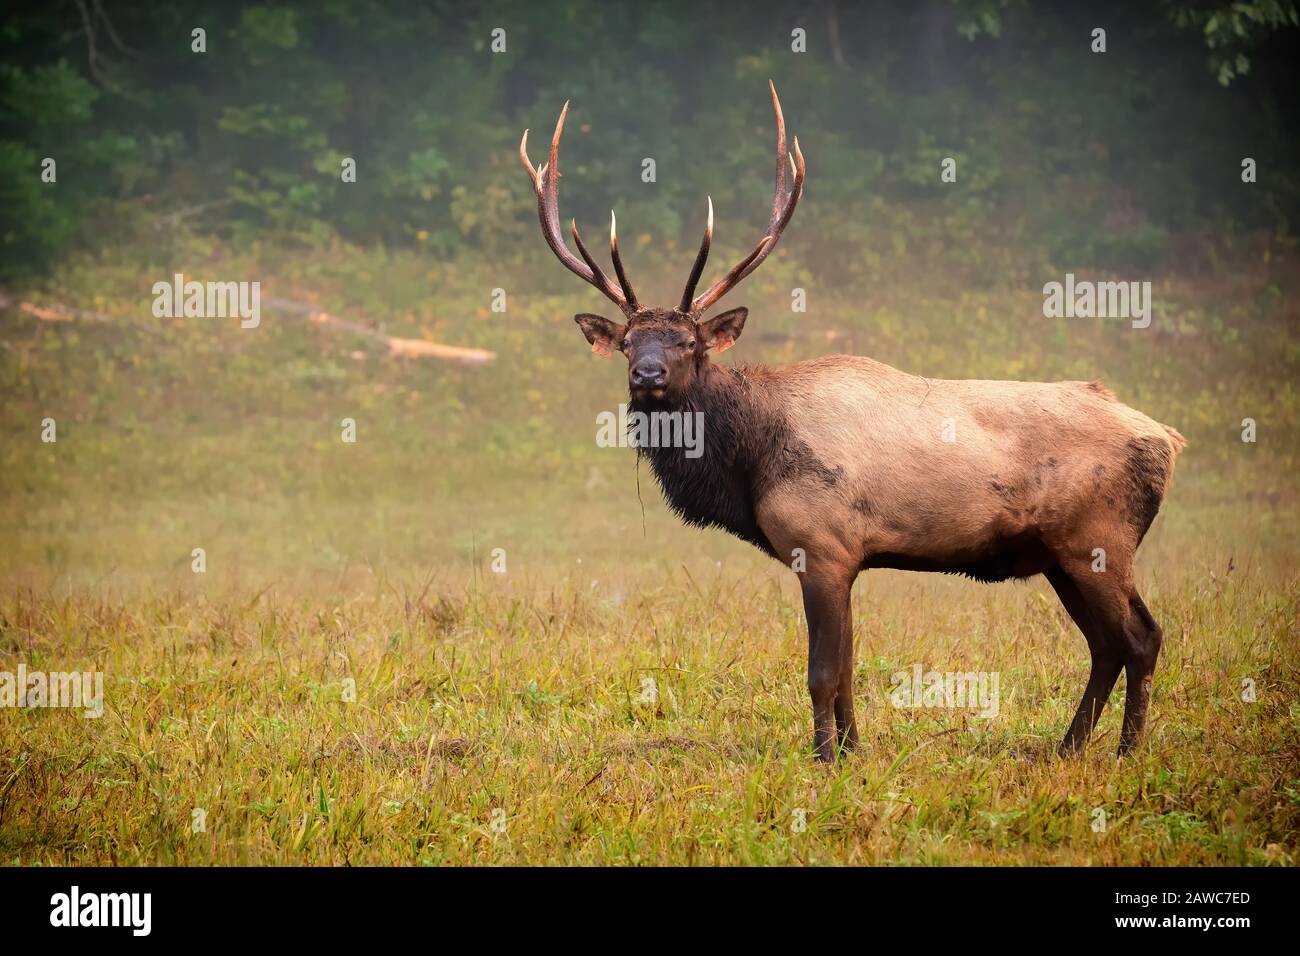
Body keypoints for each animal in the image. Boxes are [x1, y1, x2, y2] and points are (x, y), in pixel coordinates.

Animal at [514, 80, 1180, 764]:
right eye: (627, 343)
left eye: (689, 343)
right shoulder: (849, 557)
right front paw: (855, 750)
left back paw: (1127, 752)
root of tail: (1168, 439)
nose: (647, 376)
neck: (750, 462)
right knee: (1106, 645)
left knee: (1142, 637)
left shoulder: (822, 546)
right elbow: (851, 667)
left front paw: (824, 758)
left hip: (1097, 539)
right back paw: (1070, 747)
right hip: (1058, 555)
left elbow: (822, 671)